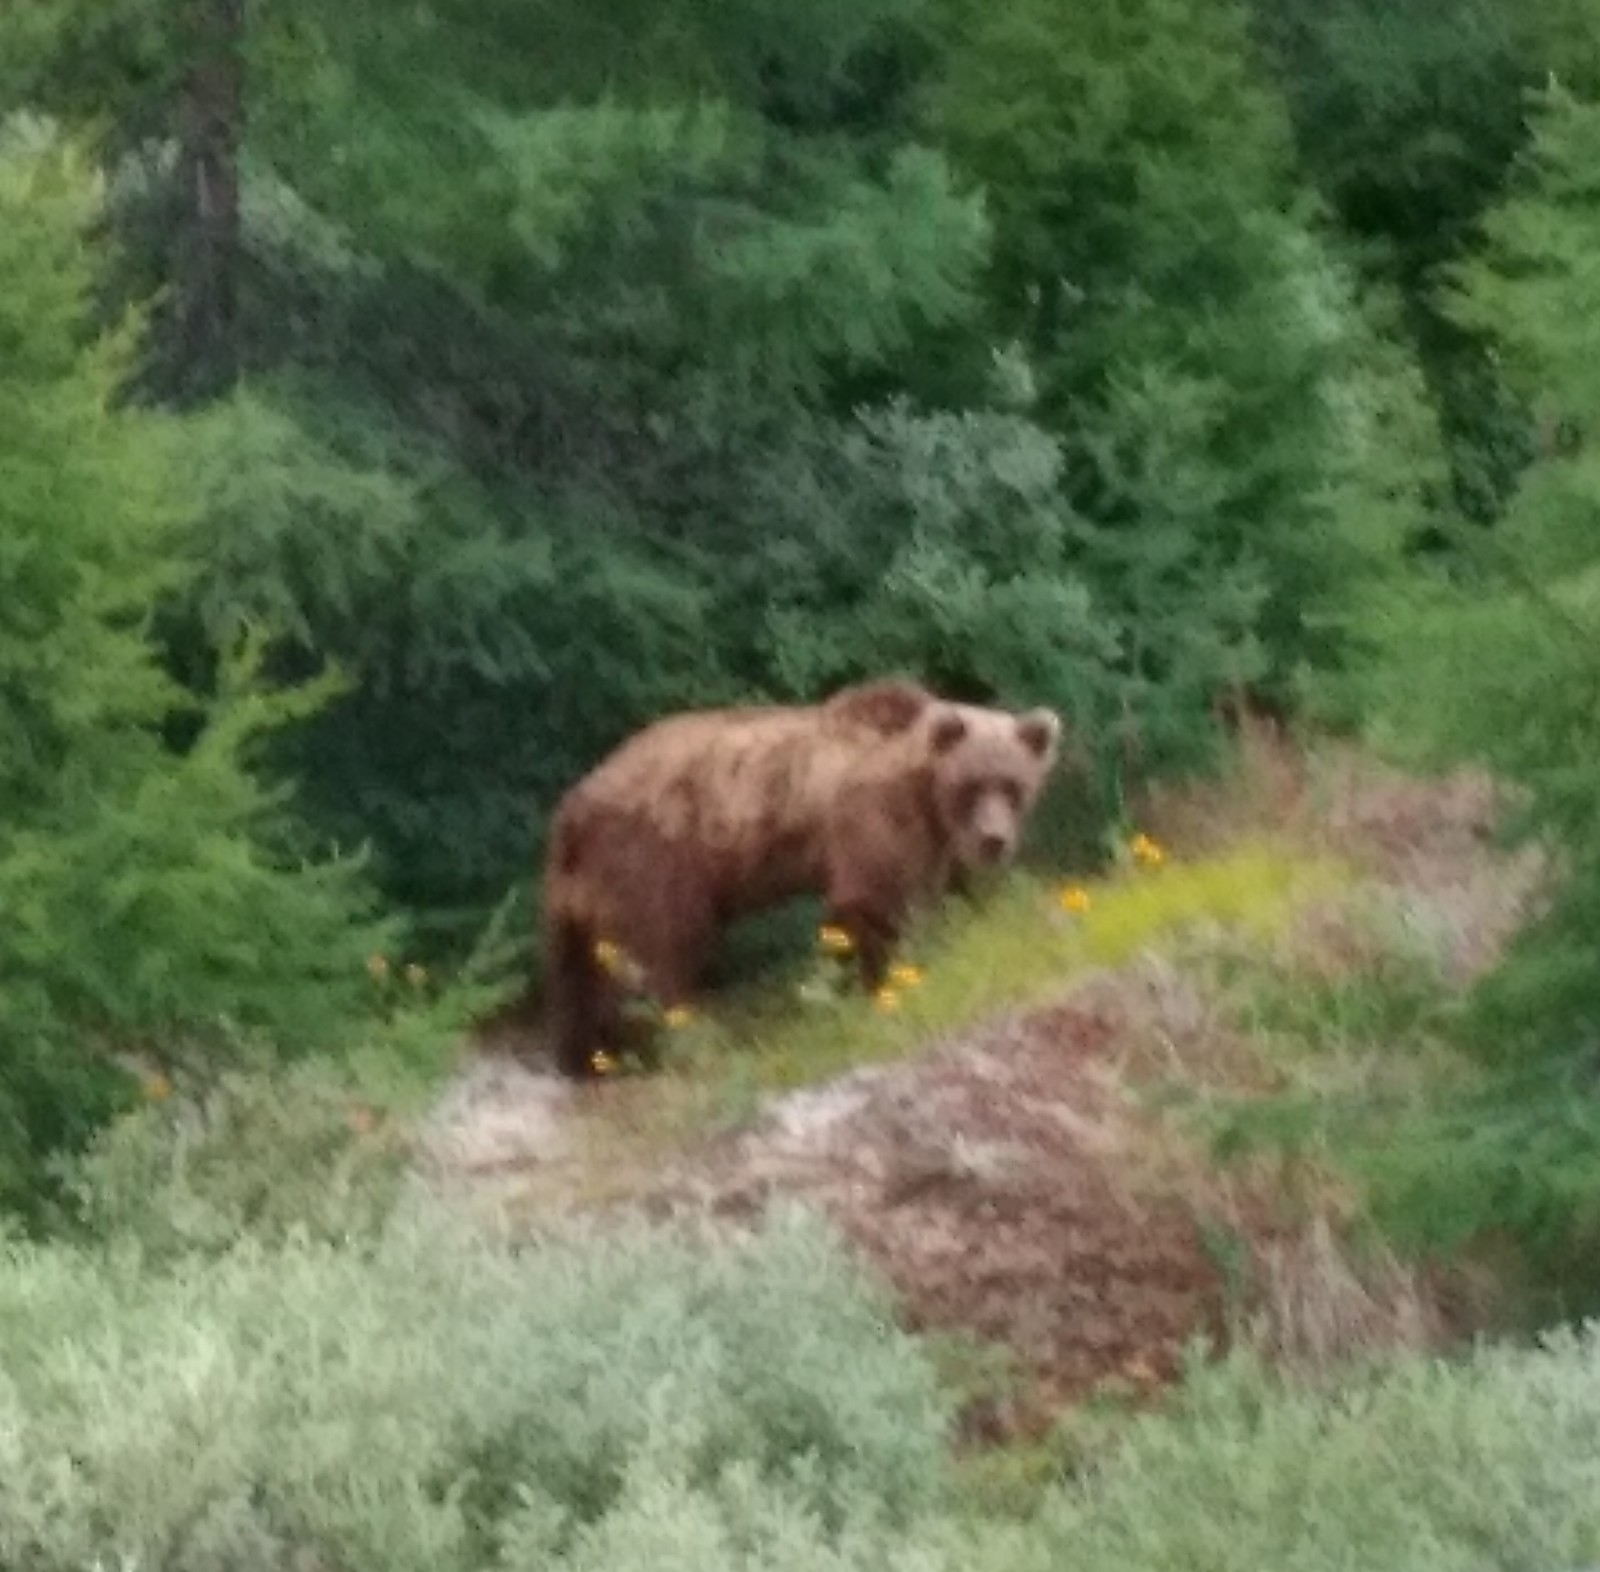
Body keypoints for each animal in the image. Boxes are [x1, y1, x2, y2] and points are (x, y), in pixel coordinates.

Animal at [537, 675, 1062, 1082]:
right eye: (971, 785)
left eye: (1013, 785)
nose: (994, 840)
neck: (924, 792)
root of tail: (573, 808)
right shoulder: (874, 817)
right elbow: (874, 903)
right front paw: (880, 982)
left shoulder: (924, 841)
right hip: (655, 854)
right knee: (660, 947)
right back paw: (675, 1039)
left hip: (574, 892)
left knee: (575, 967)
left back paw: (585, 1056)